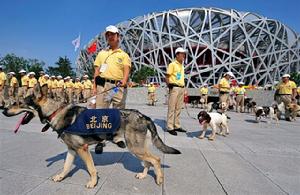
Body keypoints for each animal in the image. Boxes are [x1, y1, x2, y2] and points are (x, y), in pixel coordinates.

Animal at [1, 84, 180, 188]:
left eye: (19, 103)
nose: (3, 111)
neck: (55, 112)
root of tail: (143, 115)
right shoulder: (72, 150)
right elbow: (66, 167)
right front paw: (60, 177)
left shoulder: (83, 149)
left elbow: (91, 168)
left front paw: (93, 183)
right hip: (136, 148)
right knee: (148, 162)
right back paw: (143, 175)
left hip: (135, 148)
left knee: (156, 159)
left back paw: (159, 179)